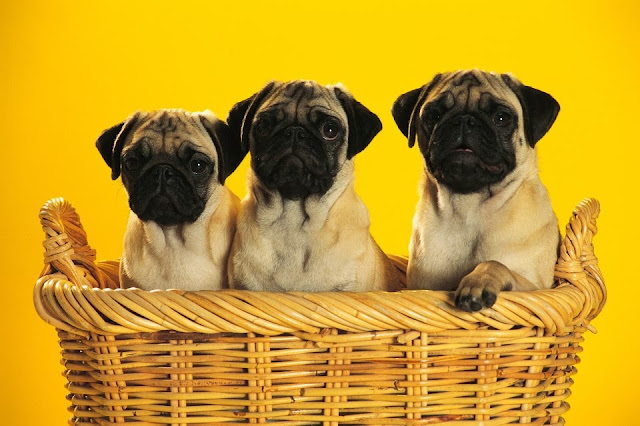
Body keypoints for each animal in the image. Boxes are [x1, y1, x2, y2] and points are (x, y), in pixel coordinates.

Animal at [390, 69, 560, 310]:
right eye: (433, 115)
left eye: (501, 118)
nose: (464, 120)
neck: (469, 209)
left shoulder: (537, 287)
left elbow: (495, 264)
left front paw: (477, 283)